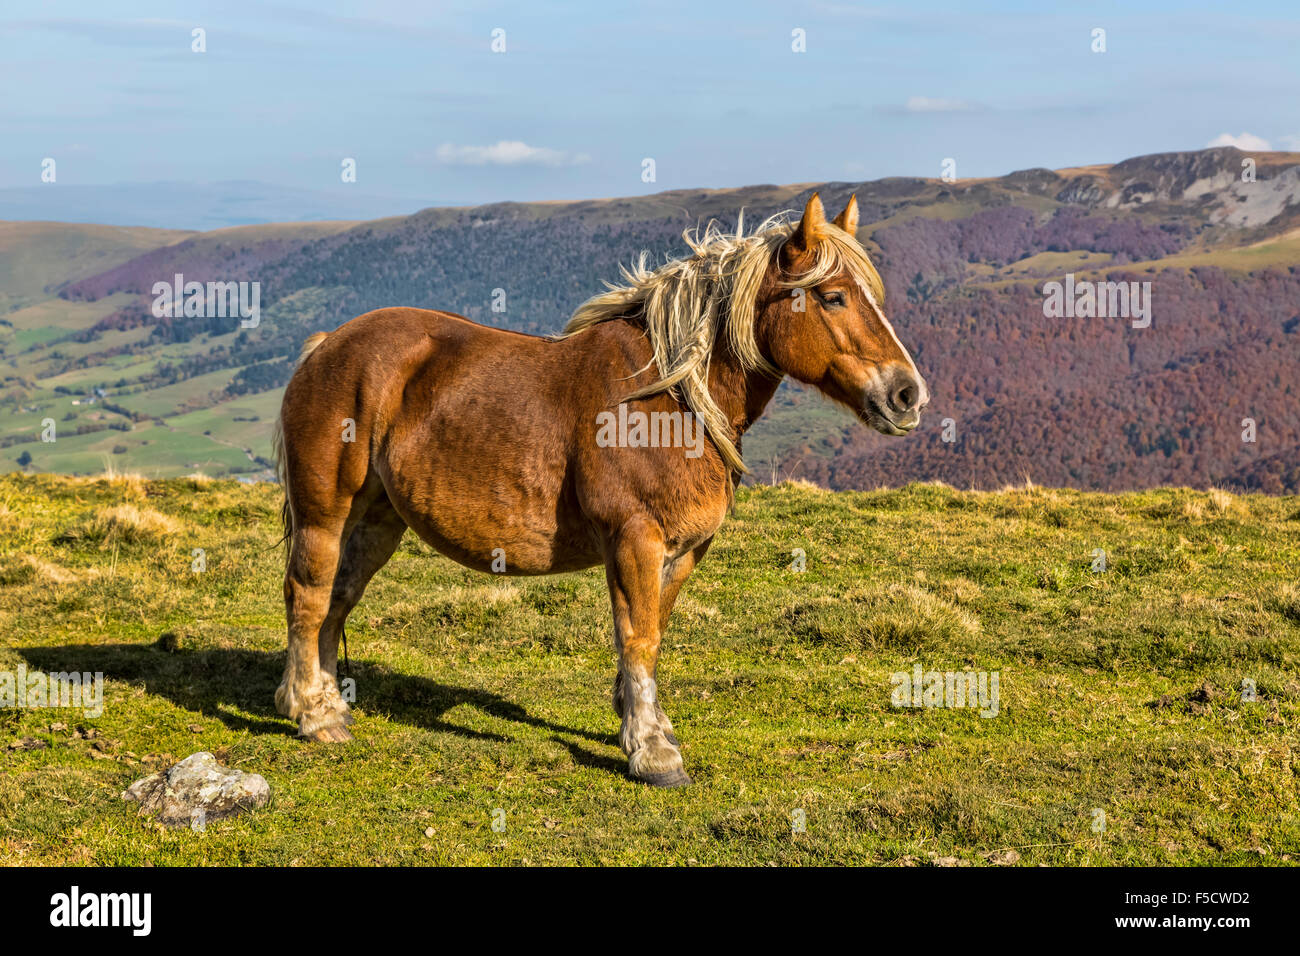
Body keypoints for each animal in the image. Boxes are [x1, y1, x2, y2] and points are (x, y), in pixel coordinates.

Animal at [271, 192, 925, 785]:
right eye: (834, 296)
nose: (907, 394)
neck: (673, 400)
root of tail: (328, 345)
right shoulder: (634, 537)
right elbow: (638, 637)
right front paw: (652, 753)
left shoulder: (683, 550)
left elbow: (654, 629)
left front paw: (642, 724)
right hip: (325, 513)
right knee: (309, 596)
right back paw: (312, 716)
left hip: (378, 518)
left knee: (338, 598)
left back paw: (325, 702)